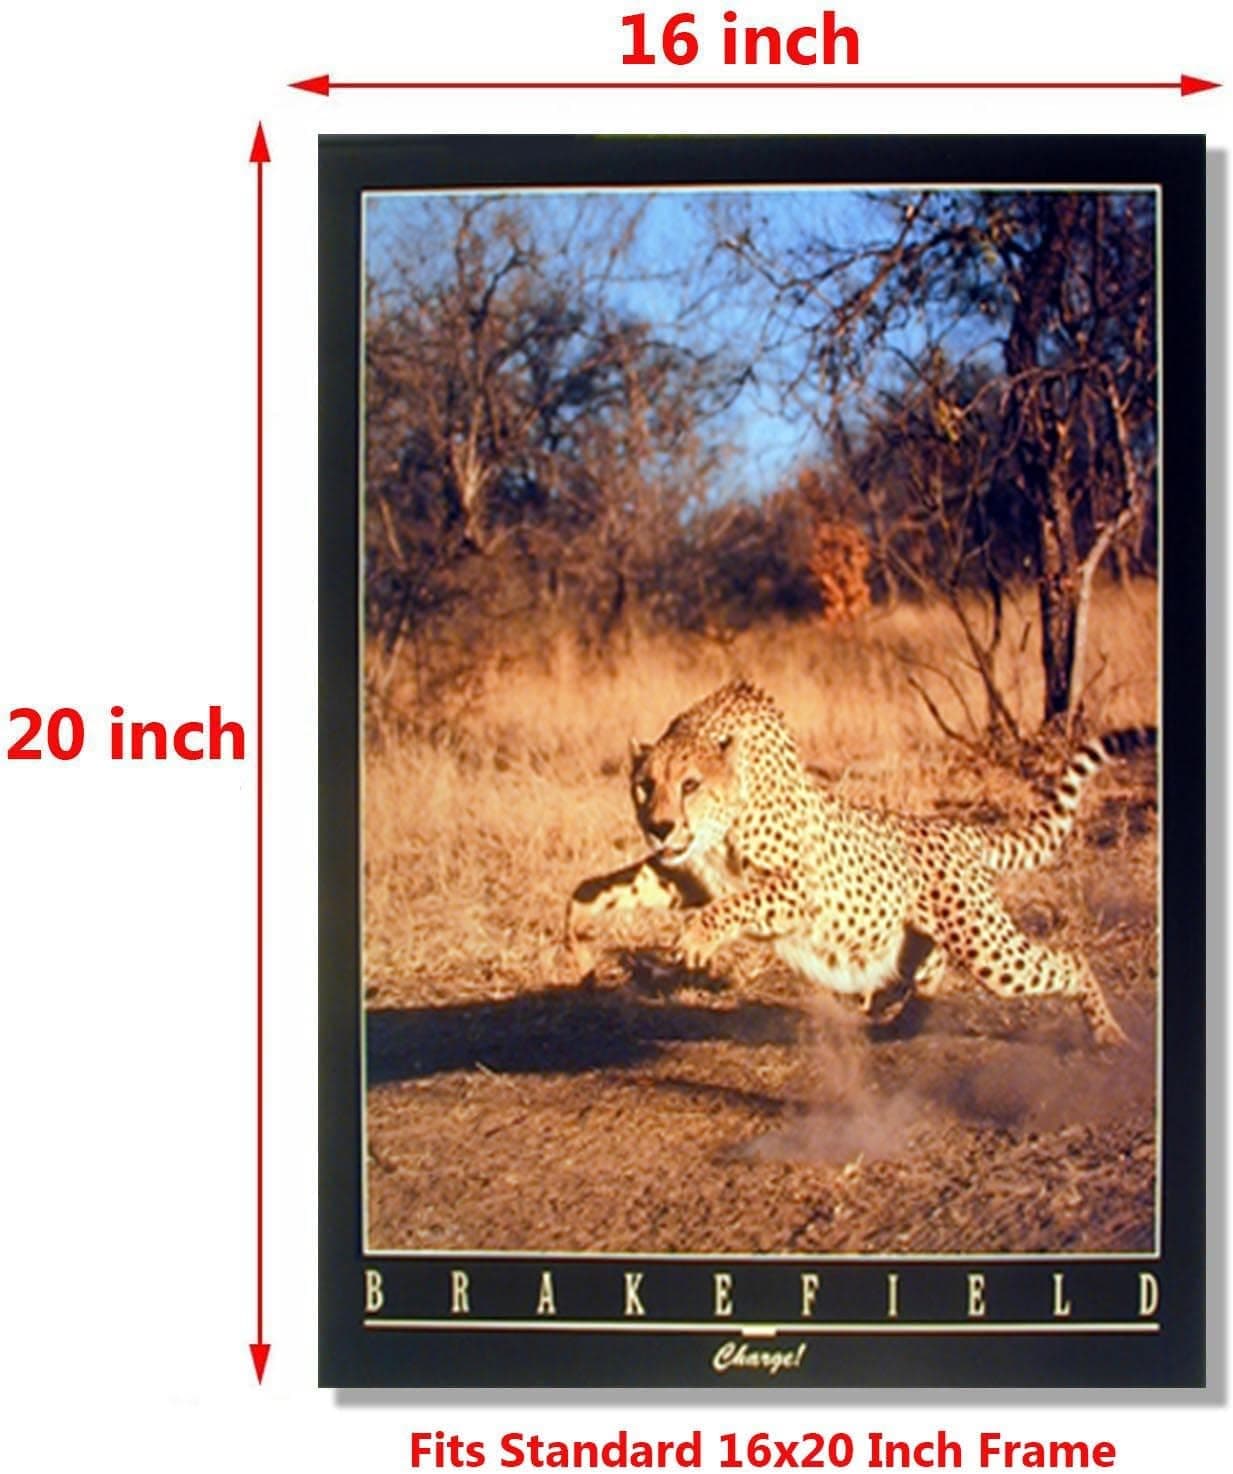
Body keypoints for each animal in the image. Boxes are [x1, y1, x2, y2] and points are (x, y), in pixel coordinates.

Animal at [564, 680, 1156, 1046]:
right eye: (645, 786)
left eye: (690, 785)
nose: (659, 826)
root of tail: (954, 827)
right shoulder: (686, 877)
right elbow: (601, 887)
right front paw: (579, 943)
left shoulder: (803, 888)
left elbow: (736, 904)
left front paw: (694, 942)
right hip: (919, 941)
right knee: (929, 972)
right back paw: (900, 1020)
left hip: (988, 948)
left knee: (1068, 962)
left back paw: (1108, 1034)